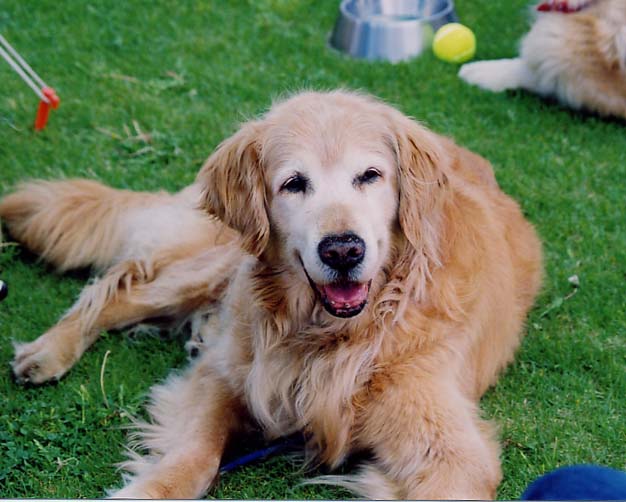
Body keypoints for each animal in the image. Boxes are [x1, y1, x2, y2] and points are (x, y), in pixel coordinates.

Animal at [0, 90, 542, 499]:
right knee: (114, 292)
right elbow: (194, 456)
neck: (331, 337)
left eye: (370, 176)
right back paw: (48, 351)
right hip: (215, 266)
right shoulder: (224, 376)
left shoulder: (452, 448)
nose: (343, 249)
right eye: (293, 184)